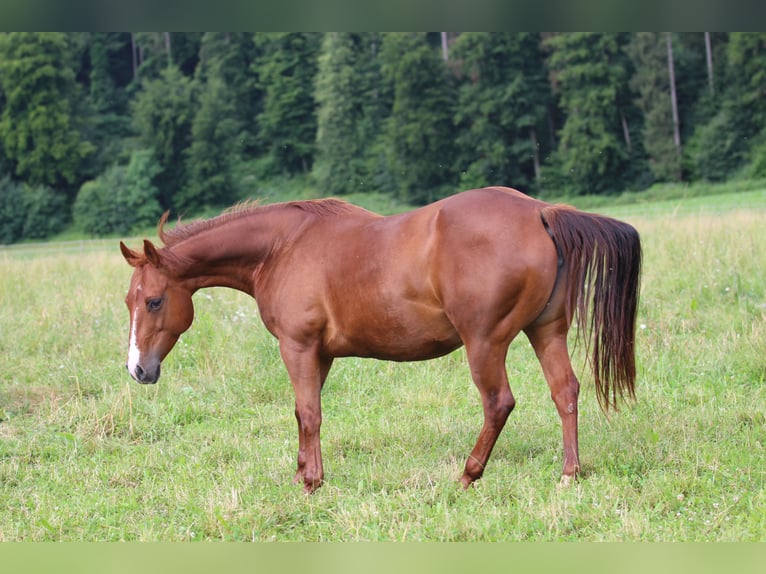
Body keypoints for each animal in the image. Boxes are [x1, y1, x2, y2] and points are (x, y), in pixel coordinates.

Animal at [123, 187, 644, 492]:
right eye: (130, 301)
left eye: (154, 301)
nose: (138, 370)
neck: (282, 247)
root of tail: (540, 212)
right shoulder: (320, 354)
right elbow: (302, 413)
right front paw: (301, 473)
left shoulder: (297, 347)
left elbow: (309, 414)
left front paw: (312, 483)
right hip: (545, 332)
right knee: (565, 392)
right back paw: (569, 475)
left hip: (485, 343)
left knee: (499, 403)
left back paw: (468, 475)